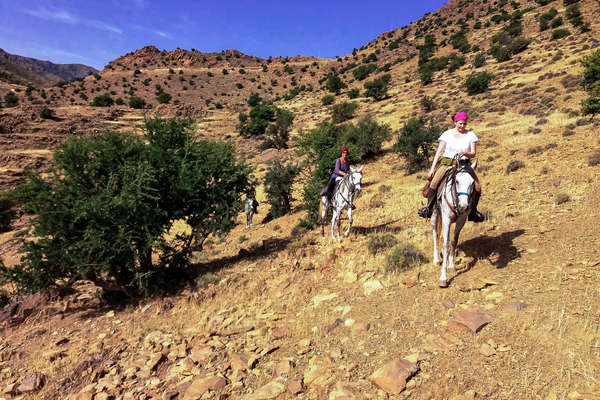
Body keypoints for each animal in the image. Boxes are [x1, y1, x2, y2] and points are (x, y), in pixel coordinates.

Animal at [432, 158, 478, 286]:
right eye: (456, 181)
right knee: (436, 235)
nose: (464, 206)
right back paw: (436, 259)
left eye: (472, 183)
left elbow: (453, 242)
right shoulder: (446, 220)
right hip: (435, 214)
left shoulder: (461, 221)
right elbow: (446, 245)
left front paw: (451, 265)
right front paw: (443, 278)